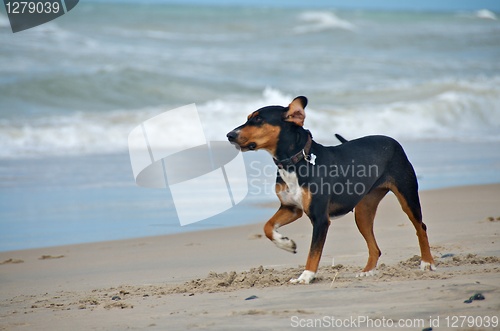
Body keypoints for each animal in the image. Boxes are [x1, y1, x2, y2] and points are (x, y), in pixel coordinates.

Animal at [227, 96, 434, 286]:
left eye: (258, 119)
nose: (229, 135)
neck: (294, 163)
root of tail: (392, 141)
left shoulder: (320, 219)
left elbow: (313, 252)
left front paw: (306, 276)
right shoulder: (291, 208)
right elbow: (268, 227)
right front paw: (286, 243)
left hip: (407, 196)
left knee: (421, 227)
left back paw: (427, 263)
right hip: (363, 212)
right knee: (375, 247)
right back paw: (367, 271)